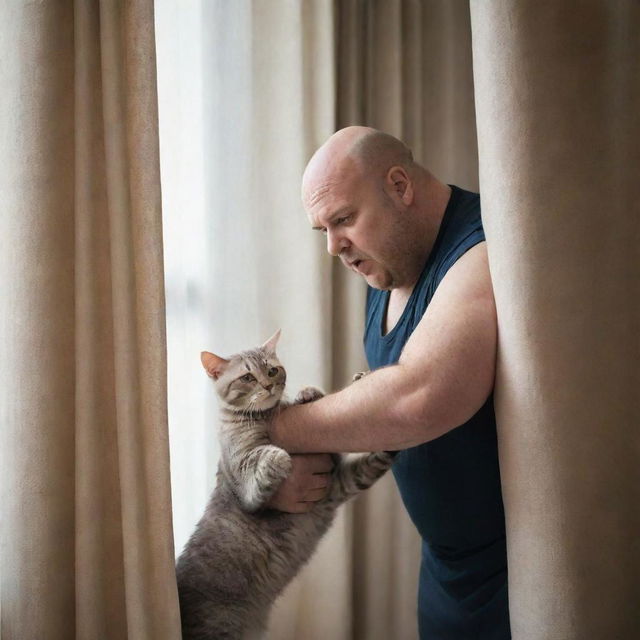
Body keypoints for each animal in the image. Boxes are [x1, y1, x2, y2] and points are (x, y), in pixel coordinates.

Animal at [176, 330, 396, 640]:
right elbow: (265, 462)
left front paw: (313, 392)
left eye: (272, 370)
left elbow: (371, 461)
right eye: (247, 377)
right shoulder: (248, 485)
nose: (268, 385)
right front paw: (278, 456)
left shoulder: (337, 483)